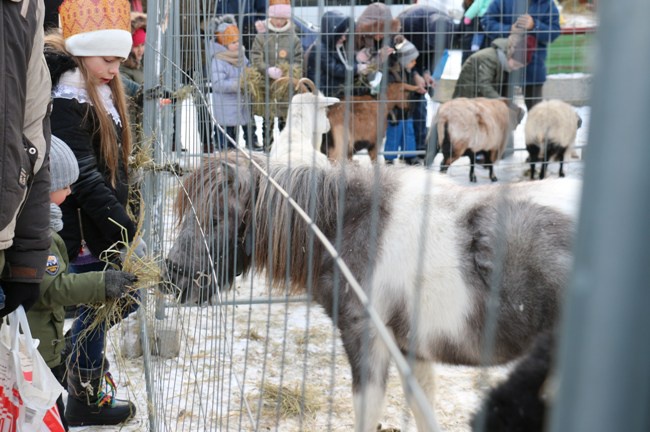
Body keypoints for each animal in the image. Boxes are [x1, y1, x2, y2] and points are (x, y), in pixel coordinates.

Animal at [166, 151, 576, 428]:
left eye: (215, 218)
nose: (172, 276)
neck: (350, 223)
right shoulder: (410, 348)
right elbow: (421, 406)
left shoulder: (366, 338)